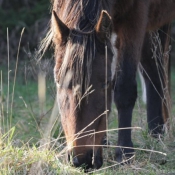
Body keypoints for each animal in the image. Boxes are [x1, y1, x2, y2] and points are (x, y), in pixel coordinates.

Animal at [43, 0, 173, 170]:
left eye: (105, 83)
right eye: (58, 81)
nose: (81, 160)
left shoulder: (134, 21)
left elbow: (124, 89)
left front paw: (124, 152)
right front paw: (105, 142)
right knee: (153, 69)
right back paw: (156, 133)